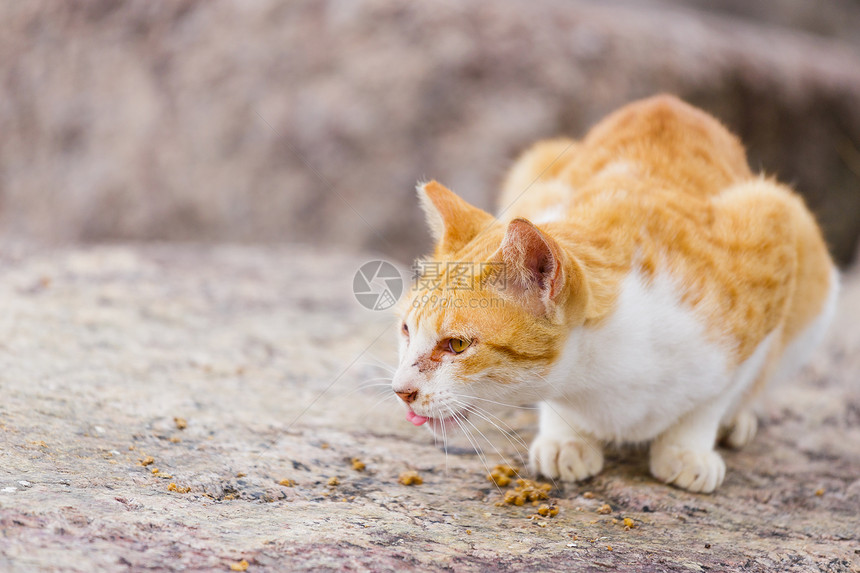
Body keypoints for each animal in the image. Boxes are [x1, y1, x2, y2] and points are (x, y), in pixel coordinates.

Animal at [394, 94, 836, 492]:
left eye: (456, 345)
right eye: (405, 330)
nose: (401, 391)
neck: (599, 376)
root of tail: (667, 100)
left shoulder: (772, 226)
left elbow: (716, 394)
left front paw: (689, 447)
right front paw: (567, 437)